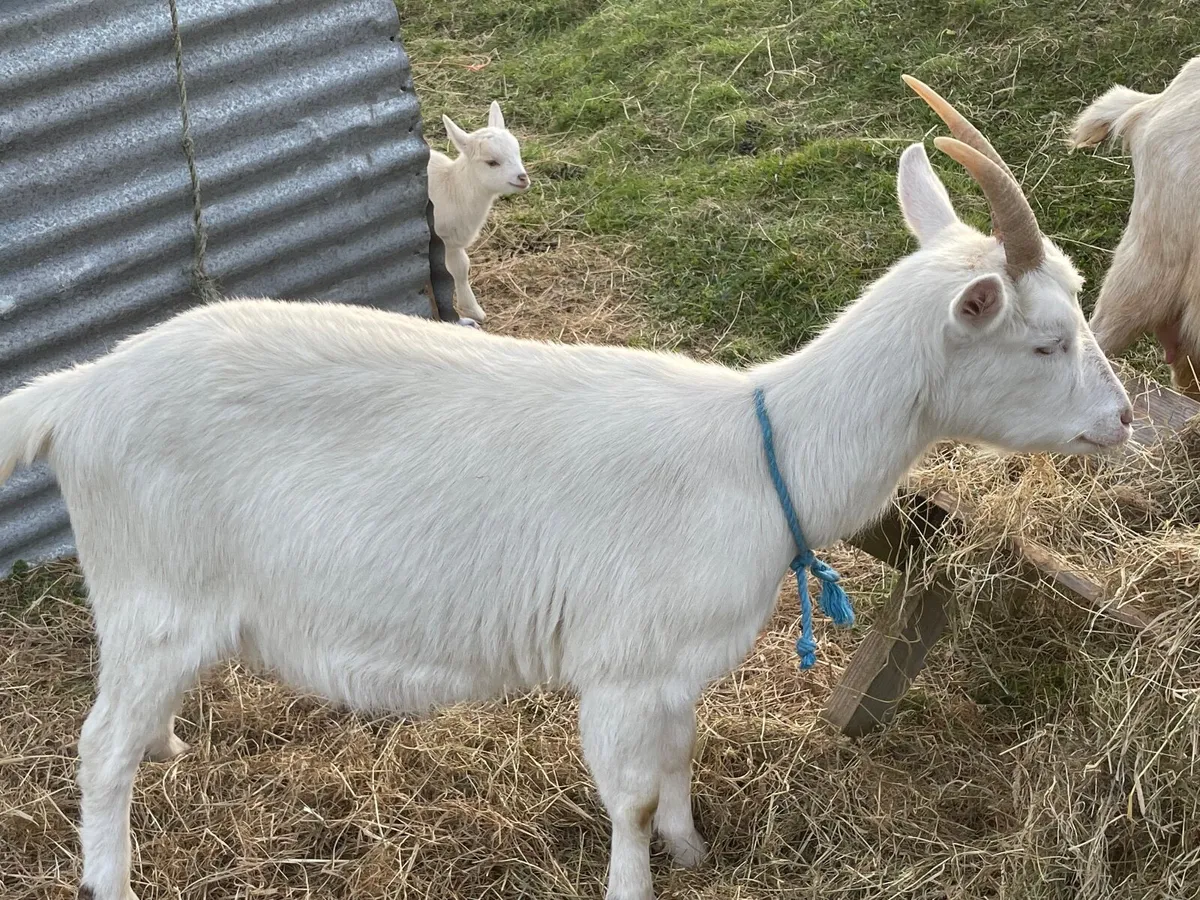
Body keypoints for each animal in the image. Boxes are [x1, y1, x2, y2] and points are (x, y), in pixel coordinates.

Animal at [427, 100, 529, 324]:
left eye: (517, 152)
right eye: (492, 162)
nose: (523, 178)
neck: (452, 187)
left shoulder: (452, 241)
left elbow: (460, 269)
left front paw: (473, 310)